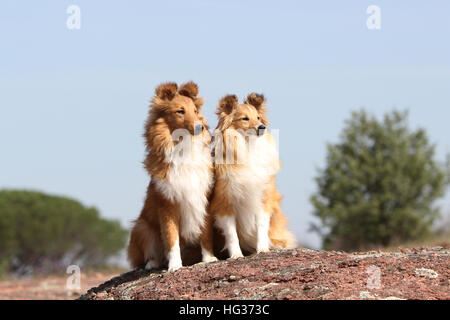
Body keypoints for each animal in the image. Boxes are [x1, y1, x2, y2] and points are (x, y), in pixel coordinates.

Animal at [127, 81, 217, 272]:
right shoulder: (167, 204)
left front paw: (209, 258)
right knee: (150, 254)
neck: (183, 146)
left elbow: (206, 234)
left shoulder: (203, 198)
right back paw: (152, 263)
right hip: (142, 227)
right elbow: (171, 237)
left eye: (195, 111)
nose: (201, 128)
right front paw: (175, 265)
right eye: (180, 111)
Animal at [210, 92, 298, 258]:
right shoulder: (224, 202)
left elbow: (261, 226)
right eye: (245, 118)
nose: (262, 127)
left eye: (258, 117)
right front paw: (236, 255)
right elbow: (231, 233)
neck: (248, 146)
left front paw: (262, 249)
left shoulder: (263, 198)